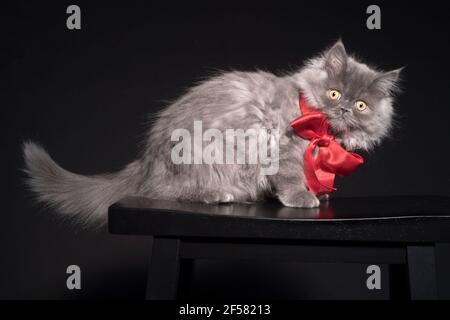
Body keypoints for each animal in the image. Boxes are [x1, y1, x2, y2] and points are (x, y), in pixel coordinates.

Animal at [22, 40, 402, 225]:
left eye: (361, 105)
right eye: (335, 94)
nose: (344, 107)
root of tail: (146, 162)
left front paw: (319, 192)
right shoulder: (280, 148)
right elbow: (291, 177)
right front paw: (302, 197)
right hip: (197, 157)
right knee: (169, 192)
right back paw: (221, 195)